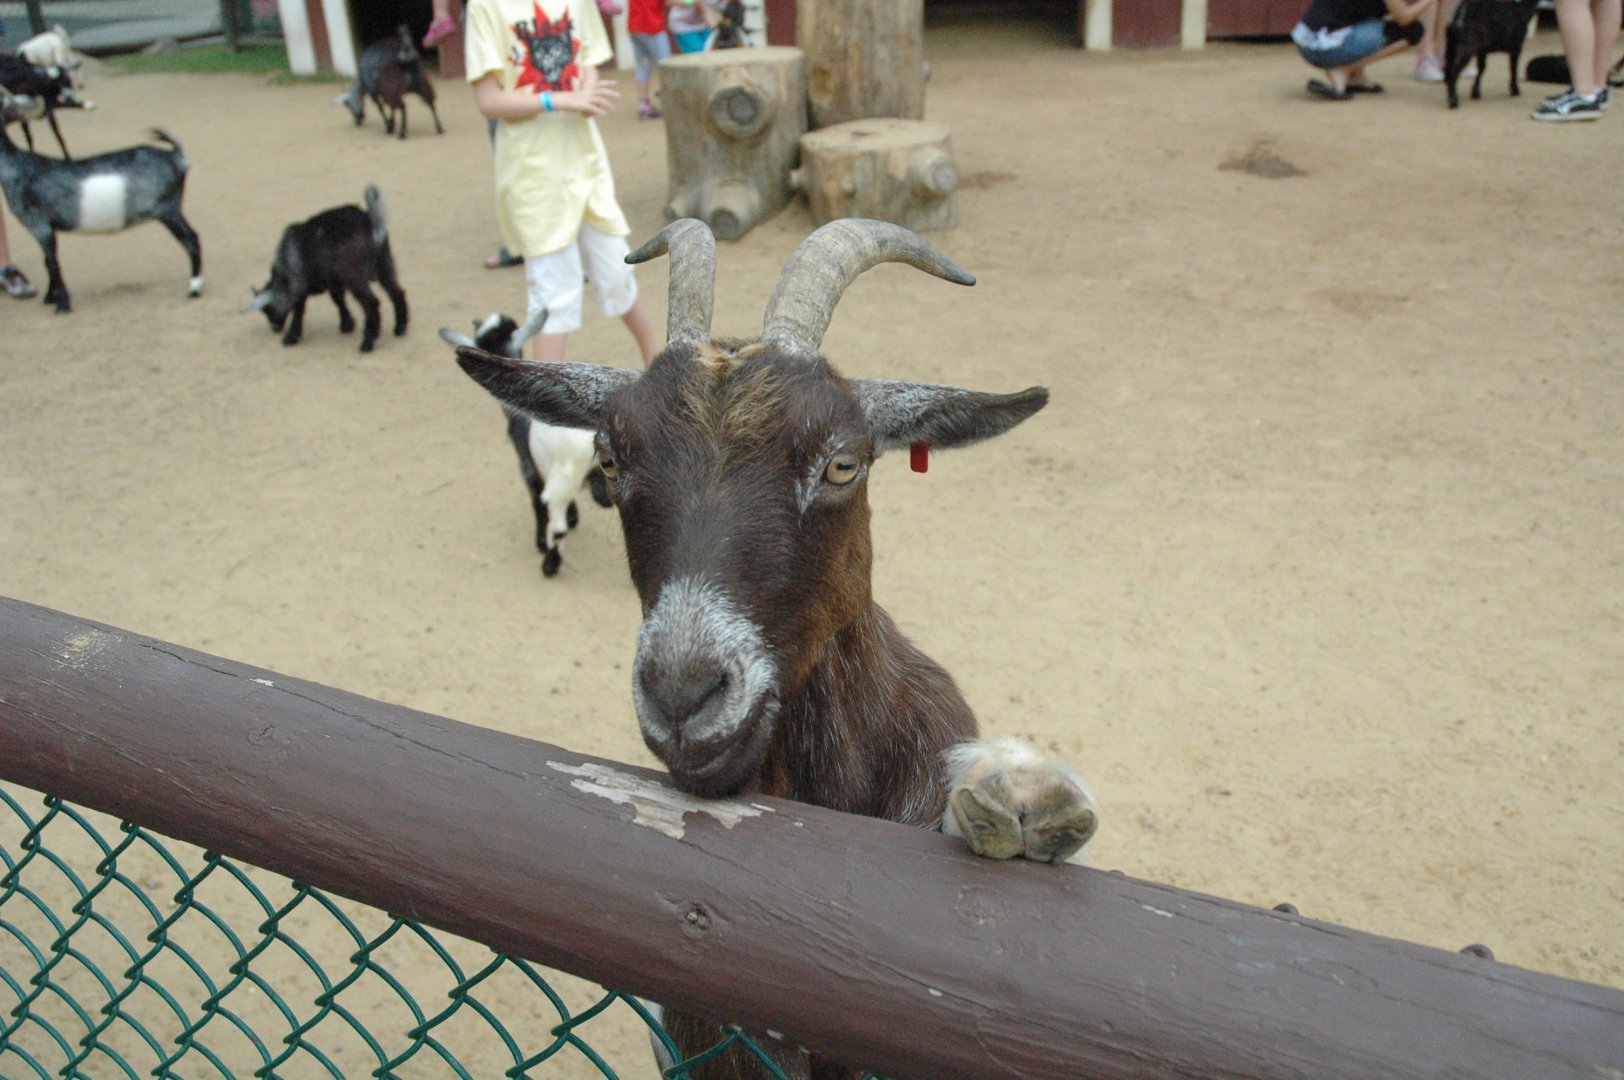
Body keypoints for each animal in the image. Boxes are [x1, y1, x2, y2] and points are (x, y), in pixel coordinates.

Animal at [0, 95, 200, 313]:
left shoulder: (39, 224)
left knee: (191, 239)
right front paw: (50, 297)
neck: (16, 166)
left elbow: (52, 262)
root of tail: (175, 156)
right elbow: (47, 260)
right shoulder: (47, 228)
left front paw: (62, 304)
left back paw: (194, 288)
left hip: (168, 210)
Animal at [245, 185, 408, 353]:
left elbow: (298, 310)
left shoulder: (298, 286)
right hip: (385, 267)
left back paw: (368, 343)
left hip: (355, 278)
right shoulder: (335, 283)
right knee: (397, 293)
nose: (275, 329)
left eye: (268, 309)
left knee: (372, 304)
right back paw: (400, 328)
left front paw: (291, 337)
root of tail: (368, 221)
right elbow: (338, 300)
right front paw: (347, 324)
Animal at [438, 310, 612, 576]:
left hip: (560, 482)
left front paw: (540, 542)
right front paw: (574, 517)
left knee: (556, 525)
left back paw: (549, 564)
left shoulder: (529, 467)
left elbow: (537, 503)